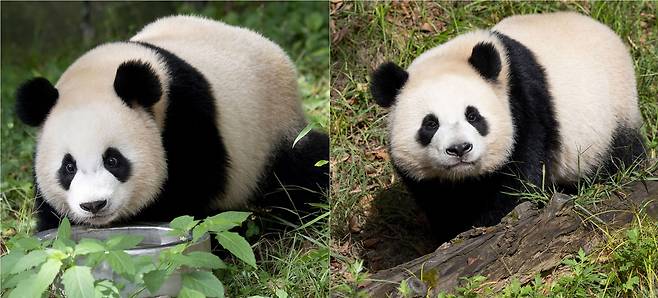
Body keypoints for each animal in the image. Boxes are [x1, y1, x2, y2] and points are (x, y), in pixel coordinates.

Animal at [16, 15, 328, 232]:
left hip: (273, 127)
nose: (94, 205)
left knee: (301, 169)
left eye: (113, 160)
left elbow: (187, 195)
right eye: (68, 167)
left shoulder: (188, 118)